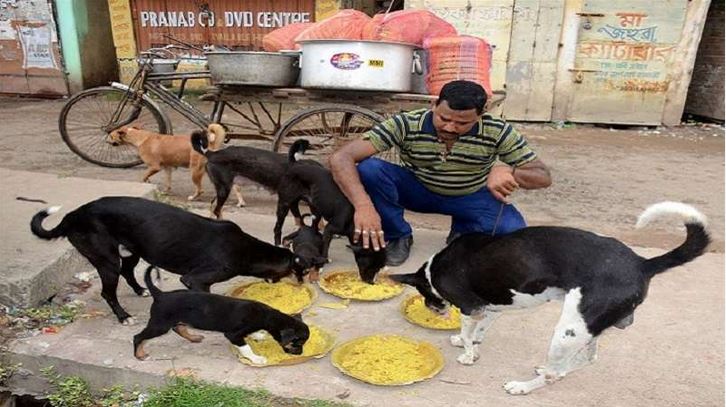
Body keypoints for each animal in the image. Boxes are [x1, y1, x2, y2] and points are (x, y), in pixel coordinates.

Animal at [30, 198, 312, 326]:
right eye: (295, 271)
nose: (301, 284)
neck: (248, 249)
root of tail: (73, 215)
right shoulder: (196, 279)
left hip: (132, 251)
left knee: (129, 272)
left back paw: (140, 290)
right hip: (107, 260)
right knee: (108, 292)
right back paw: (123, 316)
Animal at [109, 123, 242, 202]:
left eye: (110, 136)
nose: (106, 139)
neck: (140, 137)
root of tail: (210, 146)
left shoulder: (154, 167)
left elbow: (144, 176)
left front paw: (146, 182)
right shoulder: (167, 168)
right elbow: (167, 183)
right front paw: (164, 191)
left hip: (195, 171)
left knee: (200, 190)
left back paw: (193, 197)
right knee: (235, 186)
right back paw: (240, 202)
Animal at [135, 266, 312, 364]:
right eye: (297, 343)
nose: (301, 354)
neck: (266, 315)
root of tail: (160, 294)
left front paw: (259, 336)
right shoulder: (233, 335)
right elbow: (246, 348)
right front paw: (257, 358)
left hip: (177, 321)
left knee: (179, 328)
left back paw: (194, 337)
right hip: (159, 325)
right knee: (138, 337)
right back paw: (140, 355)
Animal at [392, 202, 712, 396]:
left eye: (424, 295)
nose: (434, 309)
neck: (436, 269)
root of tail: (642, 263)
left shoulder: (471, 307)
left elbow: (469, 333)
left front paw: (468, 354)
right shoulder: (491, 308)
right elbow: (478, 331)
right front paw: (467, 342)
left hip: (568, 331)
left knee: (555, 374)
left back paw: (522, 386)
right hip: (587, 328)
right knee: (586, 359)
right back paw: (546, 368)